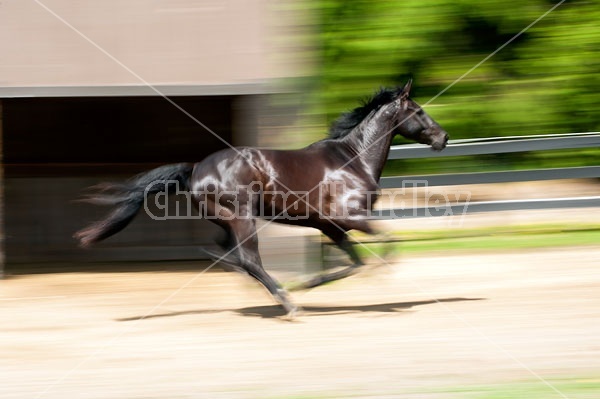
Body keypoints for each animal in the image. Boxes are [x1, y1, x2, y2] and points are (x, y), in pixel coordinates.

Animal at [75, 80, 448, 318]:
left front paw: (308, 283)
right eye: (418, 111)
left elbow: (355, 263)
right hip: (242, 218)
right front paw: (383, 274)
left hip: (228, 221)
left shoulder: (330, 227)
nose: (443, 137)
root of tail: (195, 169)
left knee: (227, 253)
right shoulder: (348, 218)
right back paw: (288, 304)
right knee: (248, 259)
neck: (352, 160)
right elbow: (388, 239)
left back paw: (275, 292)